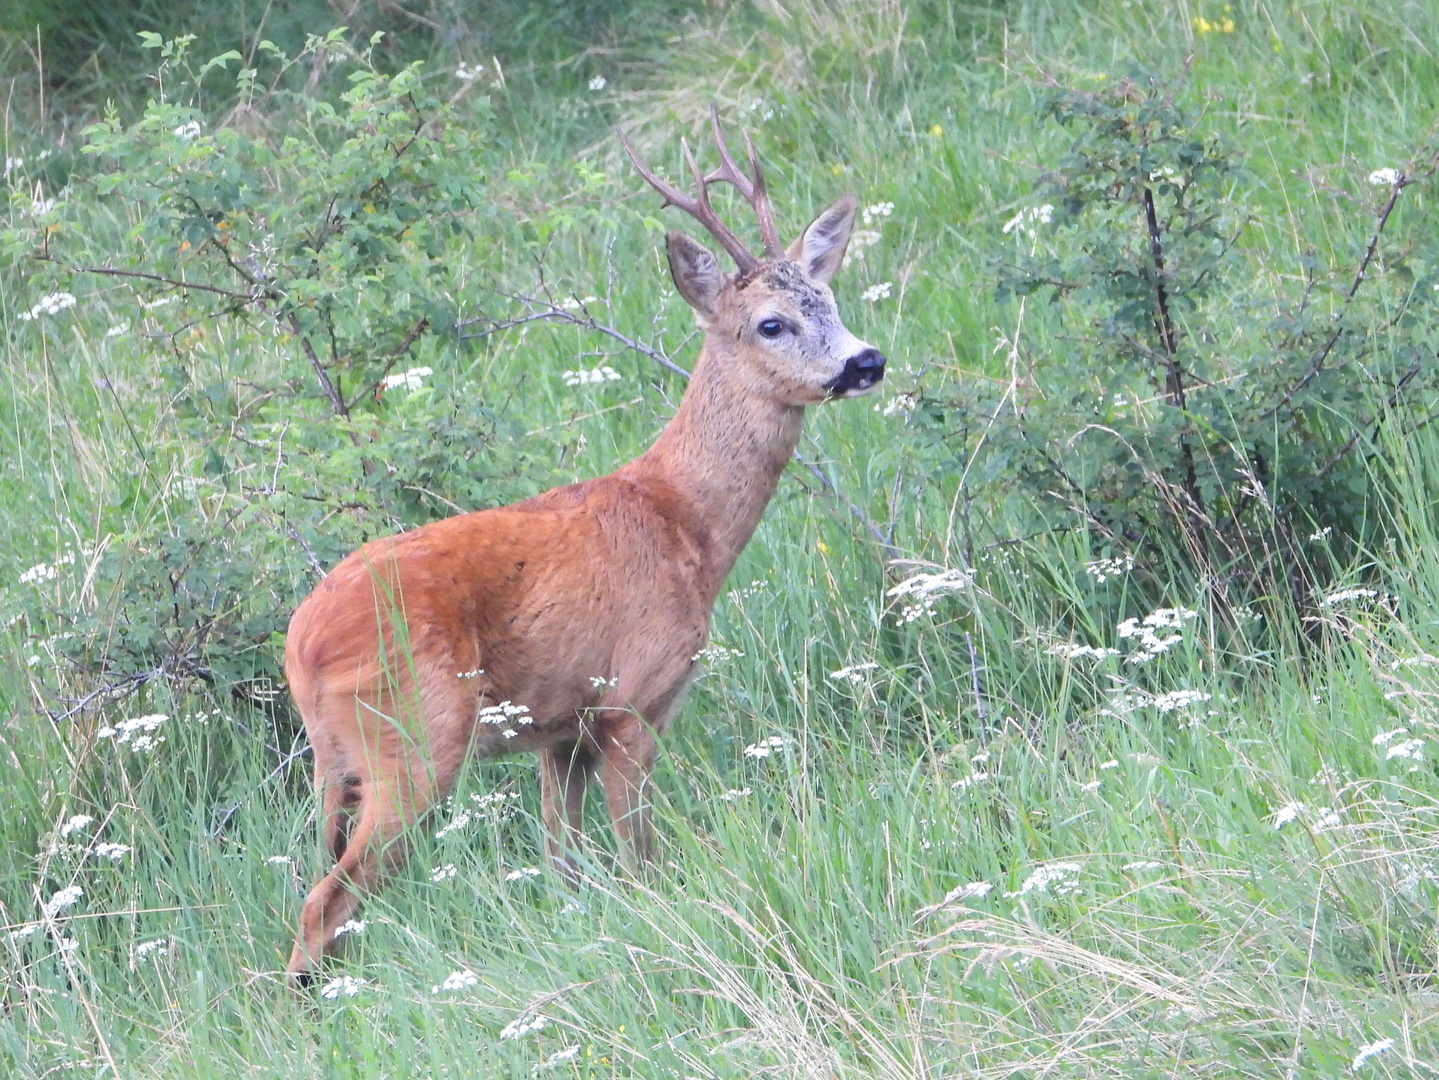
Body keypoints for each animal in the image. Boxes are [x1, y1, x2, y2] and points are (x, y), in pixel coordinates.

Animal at [280, 105, 880, 977]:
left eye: (828, 299)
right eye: (771, 323)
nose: (865, 361)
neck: (683, 520)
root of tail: (298, 643)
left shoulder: (560, 729)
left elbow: (565, 865)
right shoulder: (635, 698)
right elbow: (639, 858)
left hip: (341, 764)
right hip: (414, 738)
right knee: (324, 901)